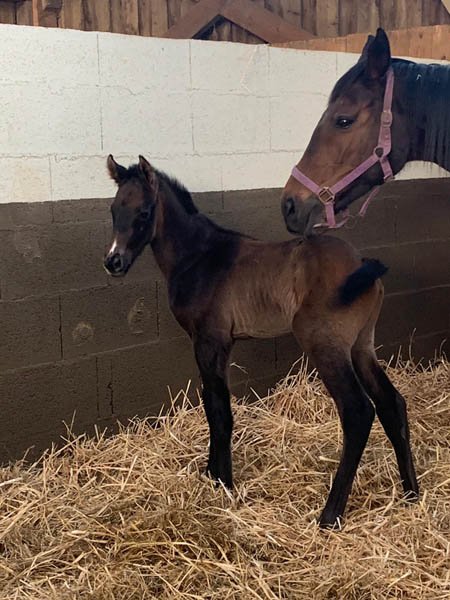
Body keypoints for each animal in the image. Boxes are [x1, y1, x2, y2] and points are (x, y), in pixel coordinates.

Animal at [103, 154, 418, 528]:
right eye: (113, 209)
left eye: (144, 212)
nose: (113, 262)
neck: (200, 257)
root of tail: (362, 264)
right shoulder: (214, 345)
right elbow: (212, 404)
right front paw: (211, 473)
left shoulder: (210, 342)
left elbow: (219, 409)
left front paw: (223, 482)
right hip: (361, 346)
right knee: (391, 402)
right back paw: (411, 493)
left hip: (326, 347)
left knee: (357, 411)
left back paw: (330, 515)